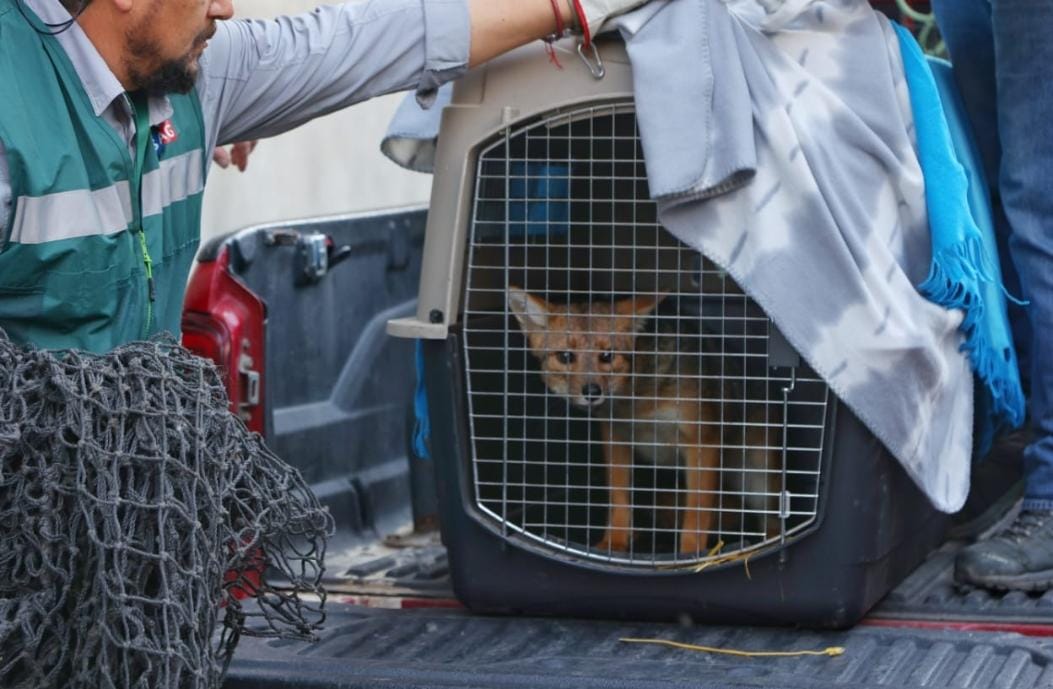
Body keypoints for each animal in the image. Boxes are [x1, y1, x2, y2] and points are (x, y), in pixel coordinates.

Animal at [509, 286, 783, 560]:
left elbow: (696, 513)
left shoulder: (702, 442)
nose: (592, 391)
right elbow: (619, 500)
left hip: (759, 481)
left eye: (607, 356)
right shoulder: (616, 437)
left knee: (772, 523)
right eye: (565, 356)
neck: (641, 402)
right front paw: (614, 543)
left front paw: (688, 555)